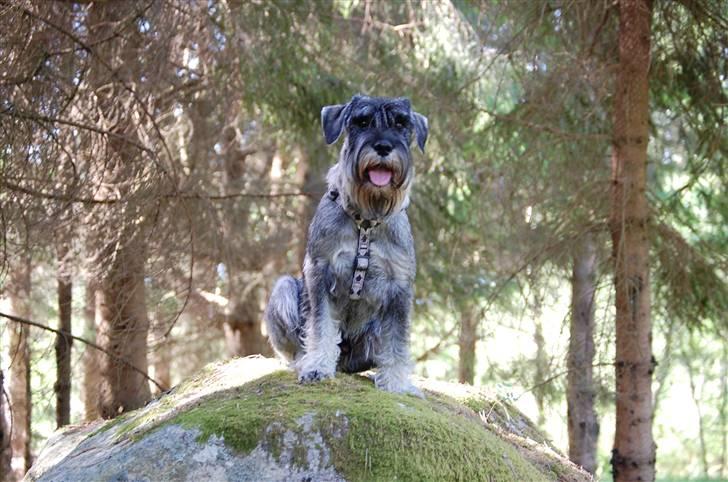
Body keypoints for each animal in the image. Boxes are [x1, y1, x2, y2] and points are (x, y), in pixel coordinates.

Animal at [264, 93, 426, 396]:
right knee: (295, 346)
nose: (383, 146)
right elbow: (322, 326)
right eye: (361, 122)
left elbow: (396, 340)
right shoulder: (320, 272)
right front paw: (317, 367)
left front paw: (396, 383)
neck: (366, 222)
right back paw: (304, 361)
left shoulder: (399, 287)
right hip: (284, 288)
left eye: (401, 124)